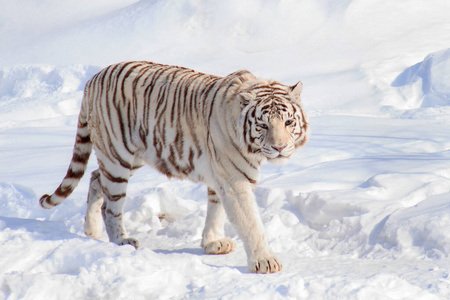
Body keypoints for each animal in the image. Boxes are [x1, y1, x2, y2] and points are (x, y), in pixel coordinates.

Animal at [39, 61, 310, 274]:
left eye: (288, 122)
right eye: (263, 125)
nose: (279, 147)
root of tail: (92, 80)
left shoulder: (220, 177)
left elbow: (216, 210)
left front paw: (213, 242)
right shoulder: (235, 180)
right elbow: (251, 223)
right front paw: (265, 261)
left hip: (131, 157)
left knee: (96, 177)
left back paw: (92, 231)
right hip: (118, 156)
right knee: (111, 205)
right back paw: (121, 240)